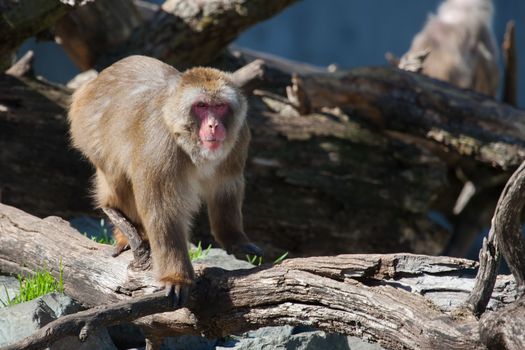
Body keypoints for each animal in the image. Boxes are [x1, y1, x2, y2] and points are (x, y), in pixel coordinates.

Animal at [68, 55, 262, 304]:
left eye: (219, 106)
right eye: (201, 106)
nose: (214, 125)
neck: (185, 138)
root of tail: (94, 82)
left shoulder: (239, 137)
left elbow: (226, 187)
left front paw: (234, 239)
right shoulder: (161, 146)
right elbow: (162, 209)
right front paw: (176, 277)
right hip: (88, 131)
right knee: (117, 179)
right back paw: (122, 224)